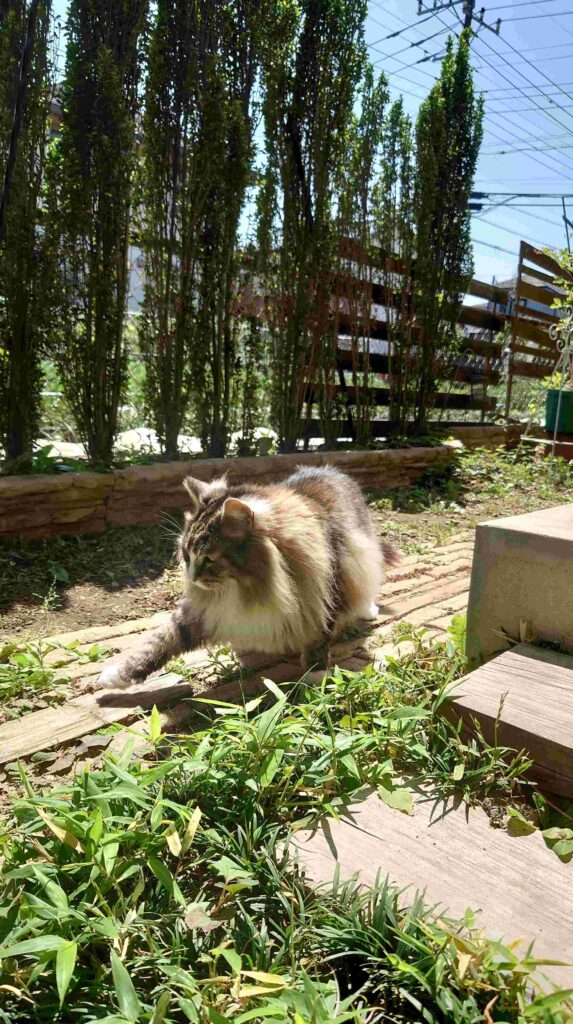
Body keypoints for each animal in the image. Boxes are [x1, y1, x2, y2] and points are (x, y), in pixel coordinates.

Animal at [98, 468, 397, 692]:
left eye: (209, 559)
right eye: (186, 555)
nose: (192, 578)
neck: (245, 587)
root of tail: (328, 468)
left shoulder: (325, 588)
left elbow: (319, 636)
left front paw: (315, 675)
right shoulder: (202, 612)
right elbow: (160, 641)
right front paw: (115, 677)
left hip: (362, 555)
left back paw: (368, 609)